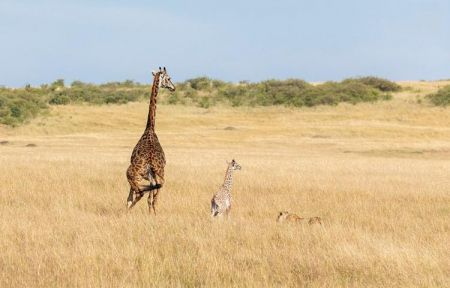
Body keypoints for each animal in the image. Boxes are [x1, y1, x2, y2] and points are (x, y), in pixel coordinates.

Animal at [127, 66, 177, 213]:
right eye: (169, 78)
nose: (173, 88)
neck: (150, 128)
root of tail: (150, 163)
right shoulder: (153, 179)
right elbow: (149, 199)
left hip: (135, 174)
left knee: (140, 194)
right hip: (157, 176)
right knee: (150, 197)